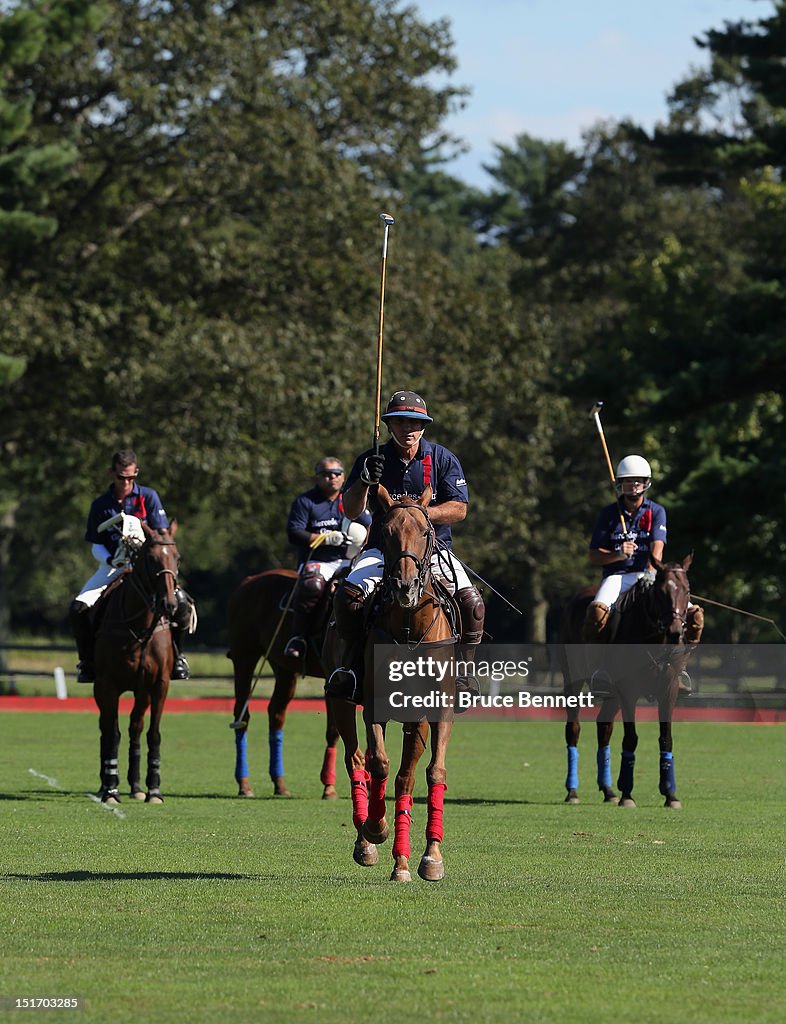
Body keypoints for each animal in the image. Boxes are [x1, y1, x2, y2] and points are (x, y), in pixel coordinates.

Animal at [92, 524, 180, 802]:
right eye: (151, 559)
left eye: (177, 558)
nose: (169, 604)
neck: (139, 627)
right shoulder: (107, 685)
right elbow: (112, 735)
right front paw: (110, 789)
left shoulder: (157, 685)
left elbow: (152, 733)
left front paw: (153, 789)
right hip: (99, 688)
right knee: (106, 729)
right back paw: (105, 784)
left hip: (143, 692)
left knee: (135, 728)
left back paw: (136, 786)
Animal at [224, 569, 339, 798]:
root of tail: (248, 580)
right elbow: (334, 729)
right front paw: (329, 787)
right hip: (245, 655)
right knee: (242, 714)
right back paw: (244, 784)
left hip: (283, 666)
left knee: (276, 713)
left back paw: (279, 783)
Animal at [327, 485, 460, 880]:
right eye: (385, 533)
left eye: (427, 532)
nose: (404, 586)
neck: (409, 628)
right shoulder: (373, 705)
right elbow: (379, 764)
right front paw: (375, 829)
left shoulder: (429, 711)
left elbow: (424, 774)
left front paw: (428, 858)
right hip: (340, 698)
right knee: (356, 758)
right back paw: (366, 841)